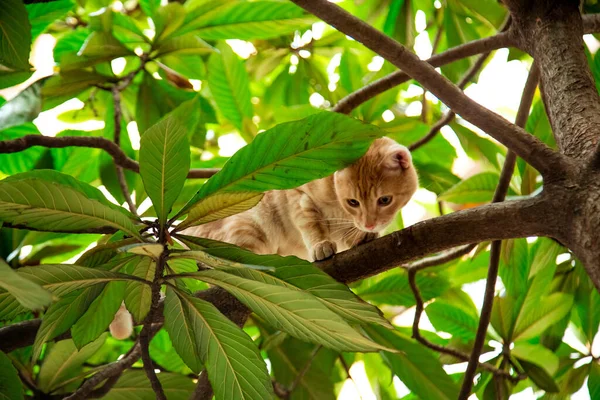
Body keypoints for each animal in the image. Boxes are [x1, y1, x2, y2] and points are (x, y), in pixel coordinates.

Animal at [183, 138, 418, 262]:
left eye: (385, 200)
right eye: (353, 202)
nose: (369, 224)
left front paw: (360, 235)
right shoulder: (299, 197)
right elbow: (312, 224)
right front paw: (321, 244)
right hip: (247, 228)